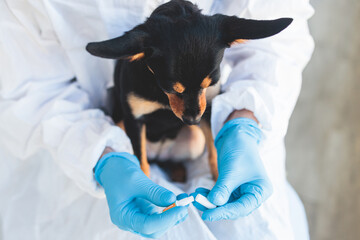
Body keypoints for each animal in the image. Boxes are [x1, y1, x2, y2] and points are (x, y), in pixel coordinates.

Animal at [86, 0, 292, 178]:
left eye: (210, 84)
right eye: (171, 88)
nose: (193, 120)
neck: (162, 95)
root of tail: (160, 152)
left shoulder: (208, 109)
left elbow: (213, 148)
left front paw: (222, 177)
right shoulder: (134, 121)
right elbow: (141, 164)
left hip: (195, 139)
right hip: (120, 124)